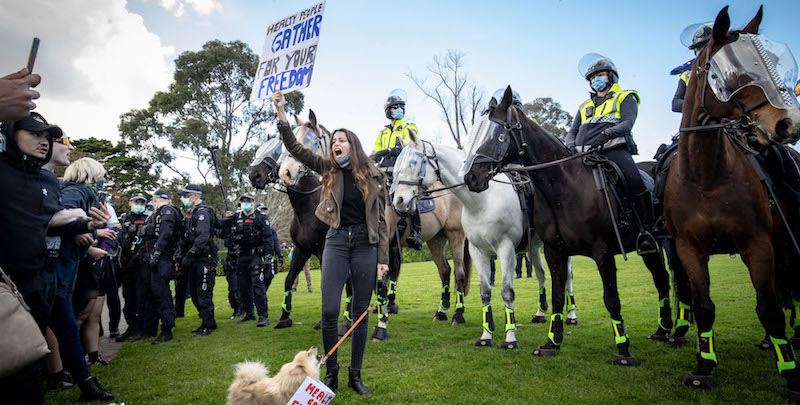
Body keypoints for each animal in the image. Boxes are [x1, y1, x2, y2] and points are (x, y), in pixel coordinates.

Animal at [392, 134, 576, 348]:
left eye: (414, 162)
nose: (398, 200)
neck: (483, 200)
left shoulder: (506, 251)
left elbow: (507, 292)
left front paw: (510, 338)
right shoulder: (478, 252)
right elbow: (485, 292)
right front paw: (486, 336)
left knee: (567, 276)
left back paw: (571, 315)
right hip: (534, 248)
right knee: (541, 274)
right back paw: (540, 313)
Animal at [664, 3, 800, 394]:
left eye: (774, 61)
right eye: (732, 73)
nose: (790, 123)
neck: (706, 177)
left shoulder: (757, 243)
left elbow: (769, 309)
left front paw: (791, 374)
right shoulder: (689, 247)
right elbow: (704, 306)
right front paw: (703, 368)